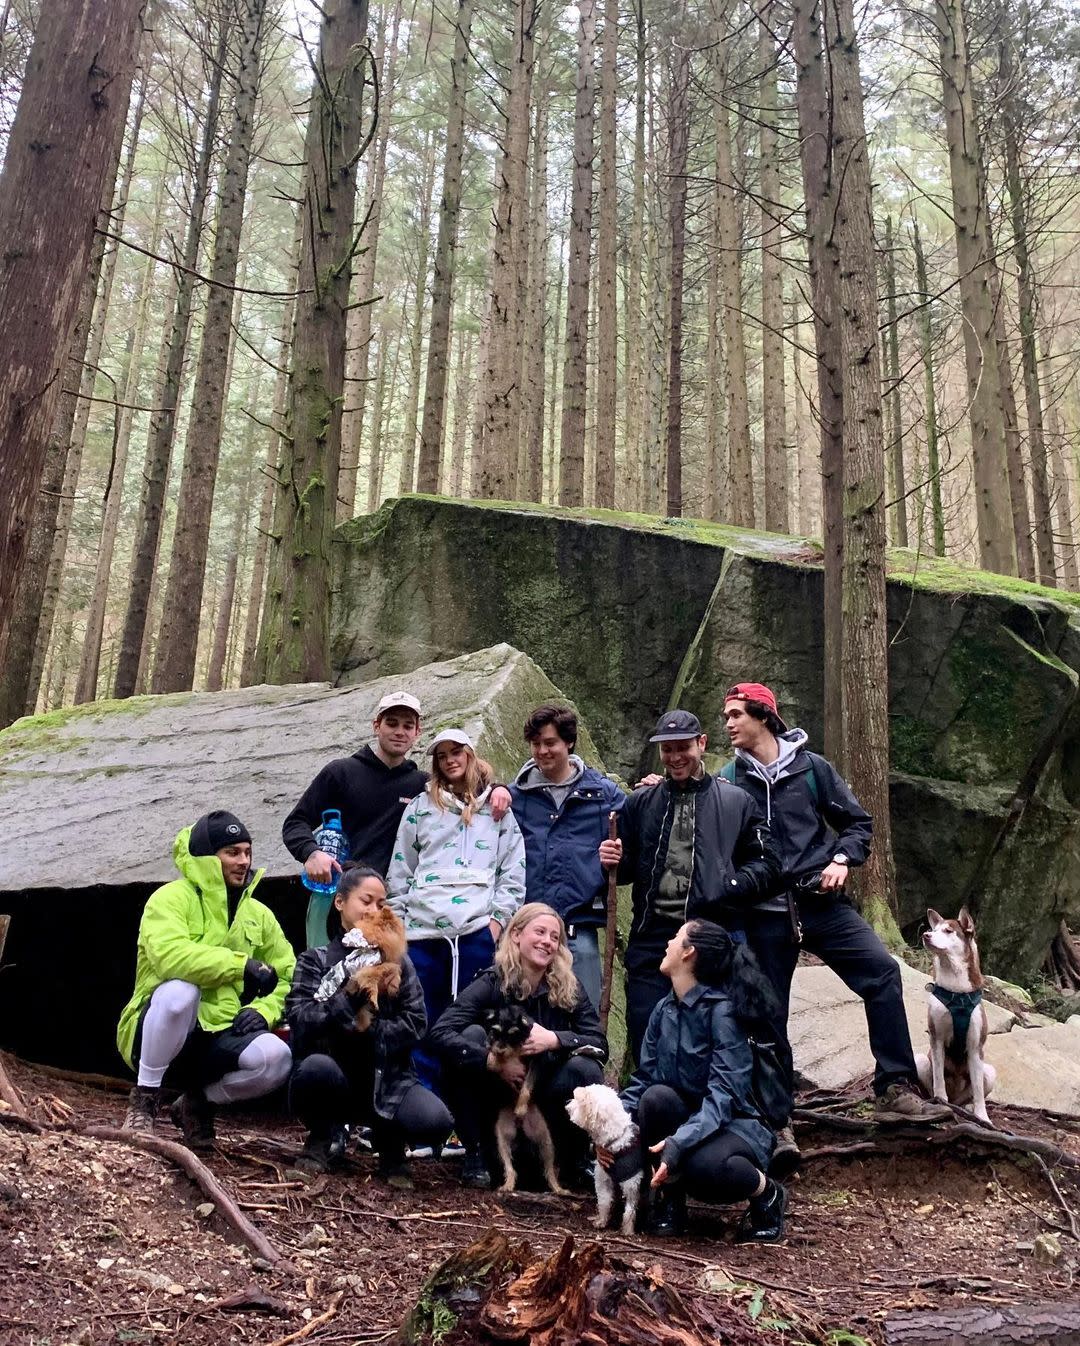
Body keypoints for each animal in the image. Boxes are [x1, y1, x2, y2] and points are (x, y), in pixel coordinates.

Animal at [562, 1076, 640, 1232]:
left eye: (577, 1101)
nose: (567, 1105)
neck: (617, 1138)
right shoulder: (628, 1183)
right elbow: (625, 1208)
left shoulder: (604, 1177)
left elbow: (606, 1202)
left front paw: (603, 1222)